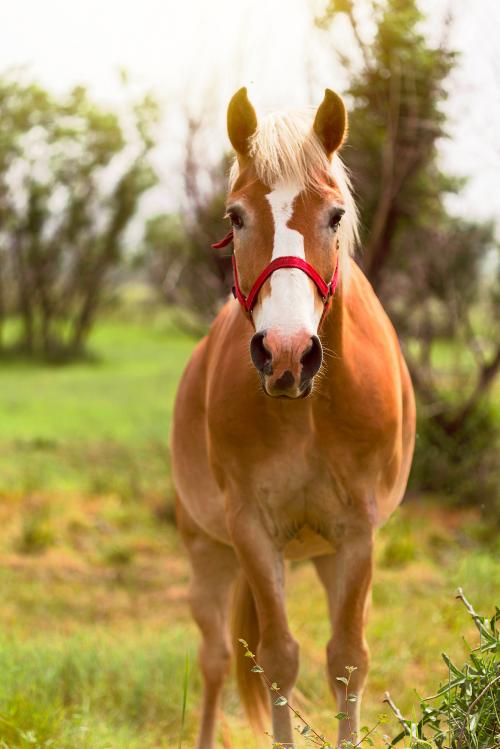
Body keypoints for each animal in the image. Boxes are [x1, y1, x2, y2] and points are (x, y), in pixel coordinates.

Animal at [172, 87, 416, 749]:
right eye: (236, 217)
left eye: (334, 215)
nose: (286, 353)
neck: (307, 412)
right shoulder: (253, 530)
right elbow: (278, 659)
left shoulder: (357, 534)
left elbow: (348, 660)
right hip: (210, 551)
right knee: (214, 659)